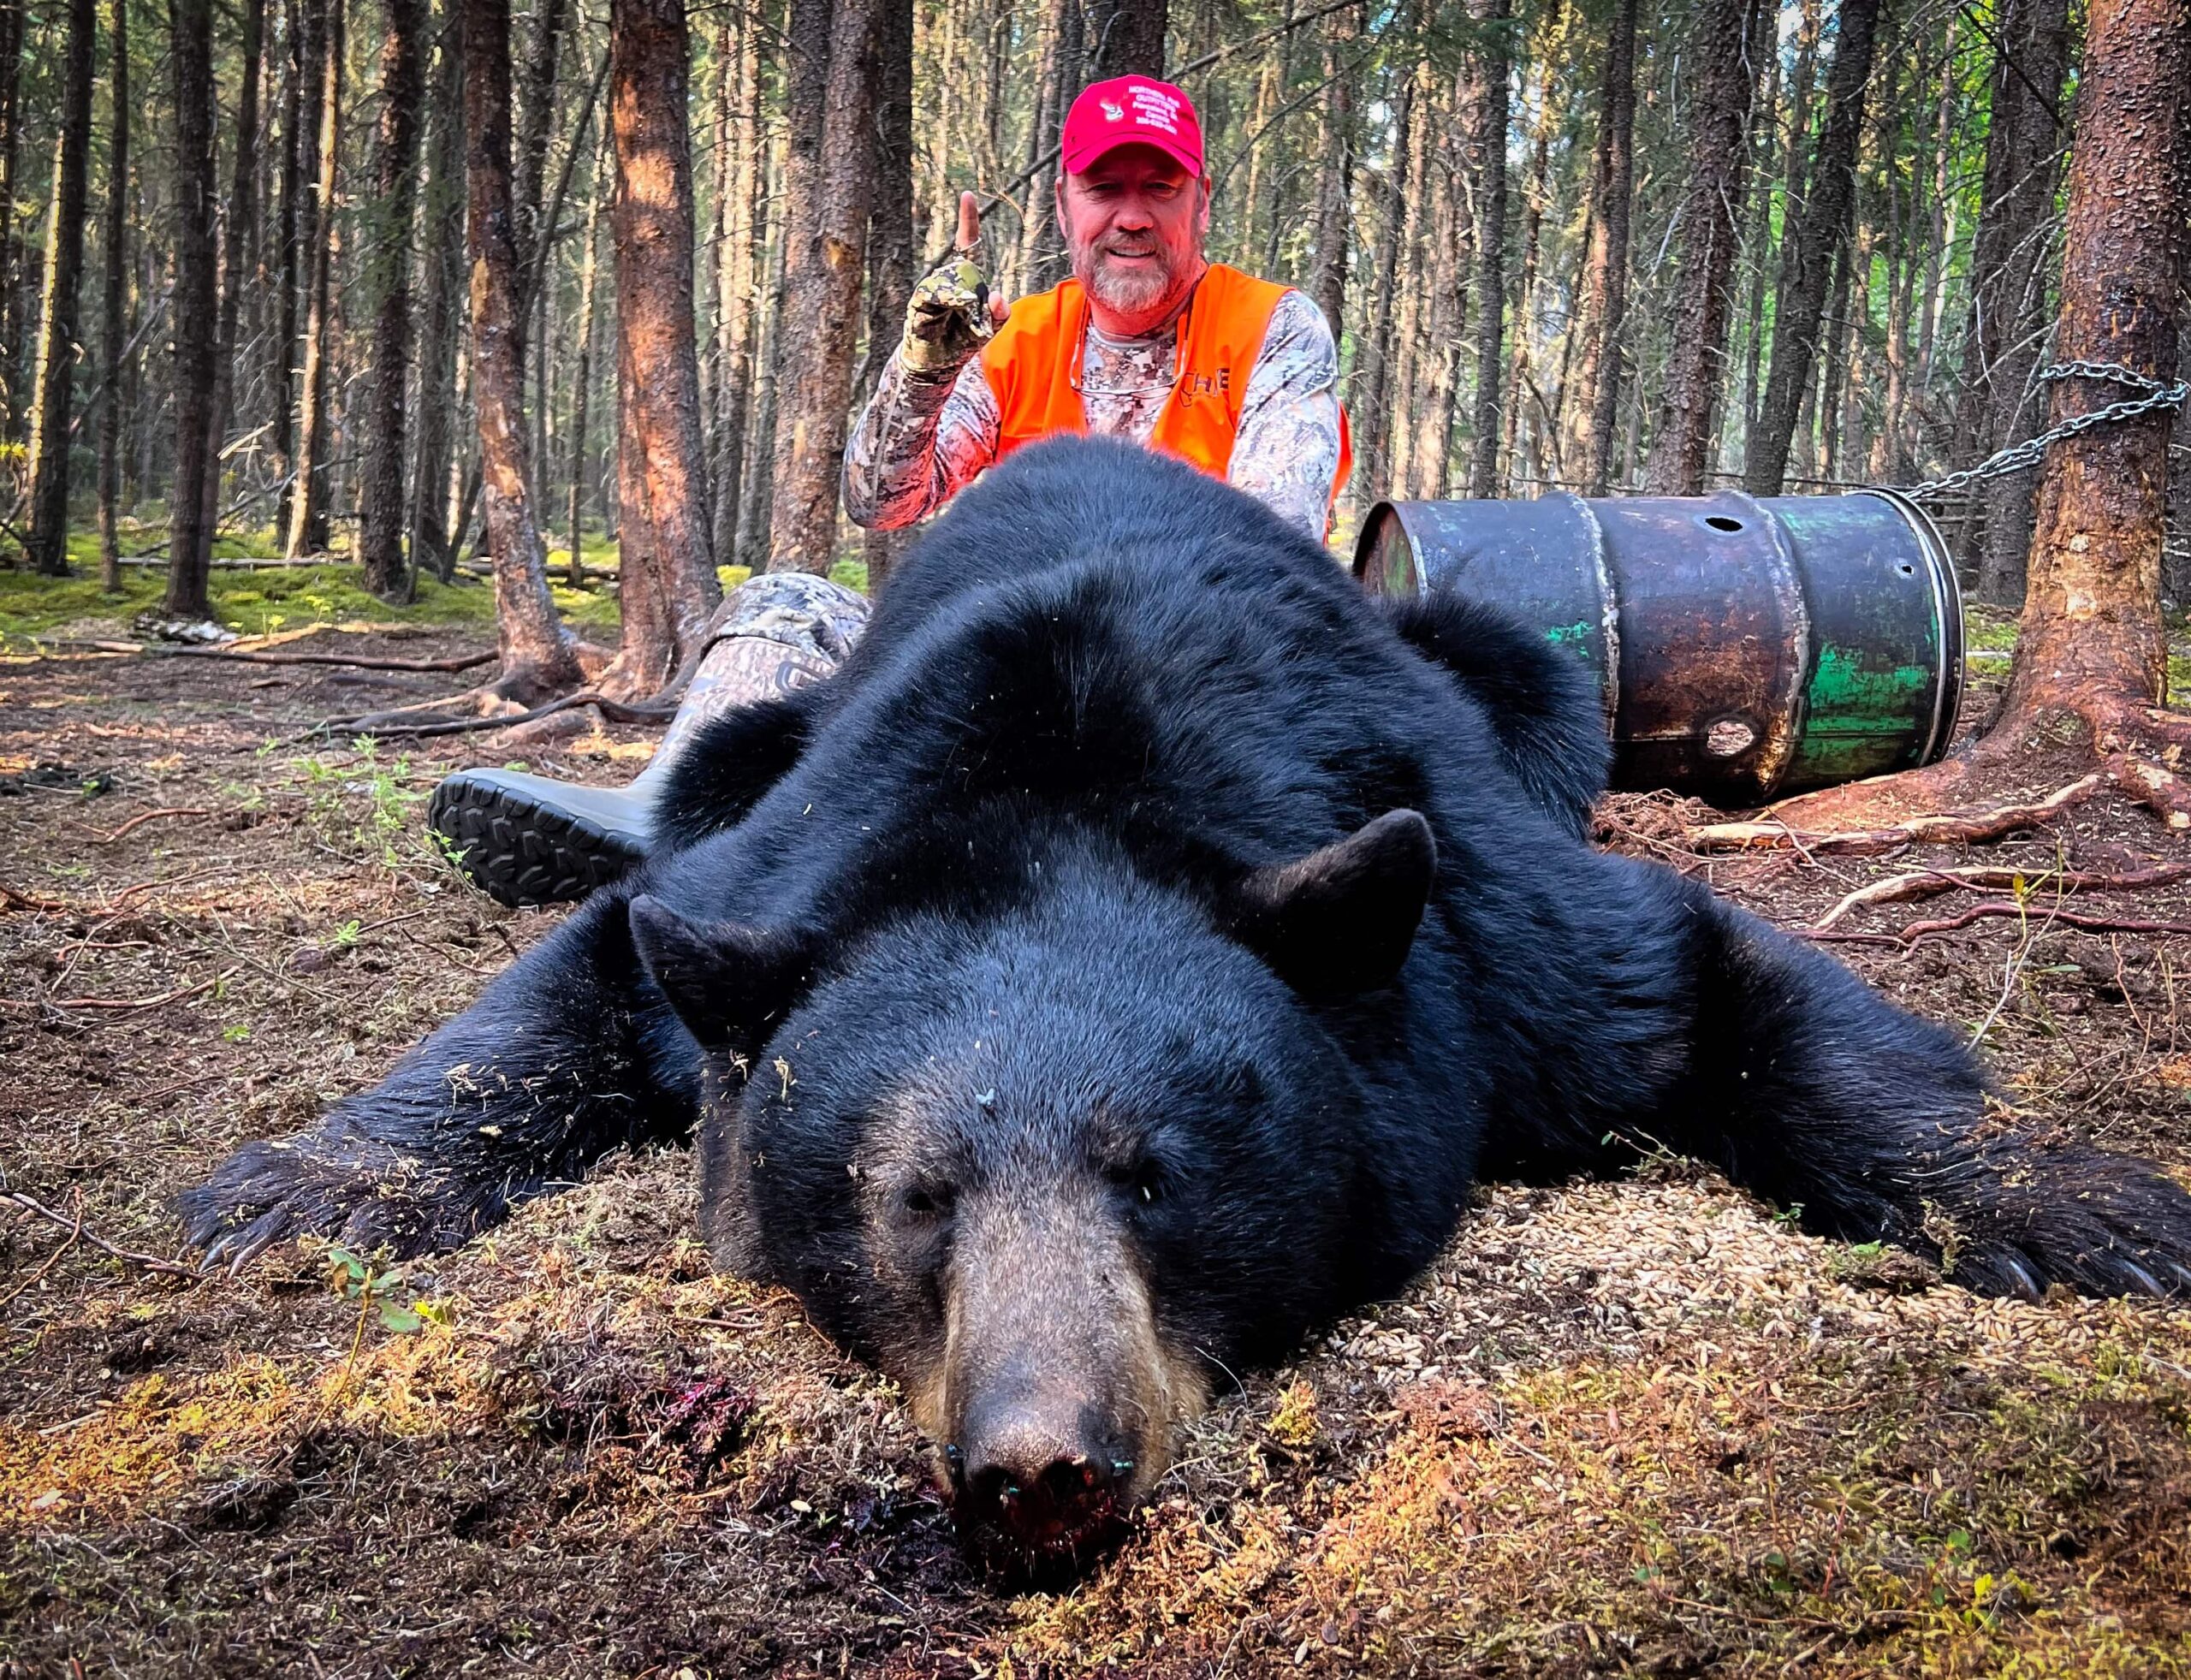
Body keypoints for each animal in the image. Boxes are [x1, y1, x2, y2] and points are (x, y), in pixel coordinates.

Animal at [179, 440, 2191, 1568]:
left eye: (1157, 1172)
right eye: (911, 1197)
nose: (1039, 1463)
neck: (1073, 777)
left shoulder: (1485, 930)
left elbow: (1717, 975)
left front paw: (2086, 1202)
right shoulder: (787, 869)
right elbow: (578, 975)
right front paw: (291, 1186)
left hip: (1511, 671)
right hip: (763, 745)